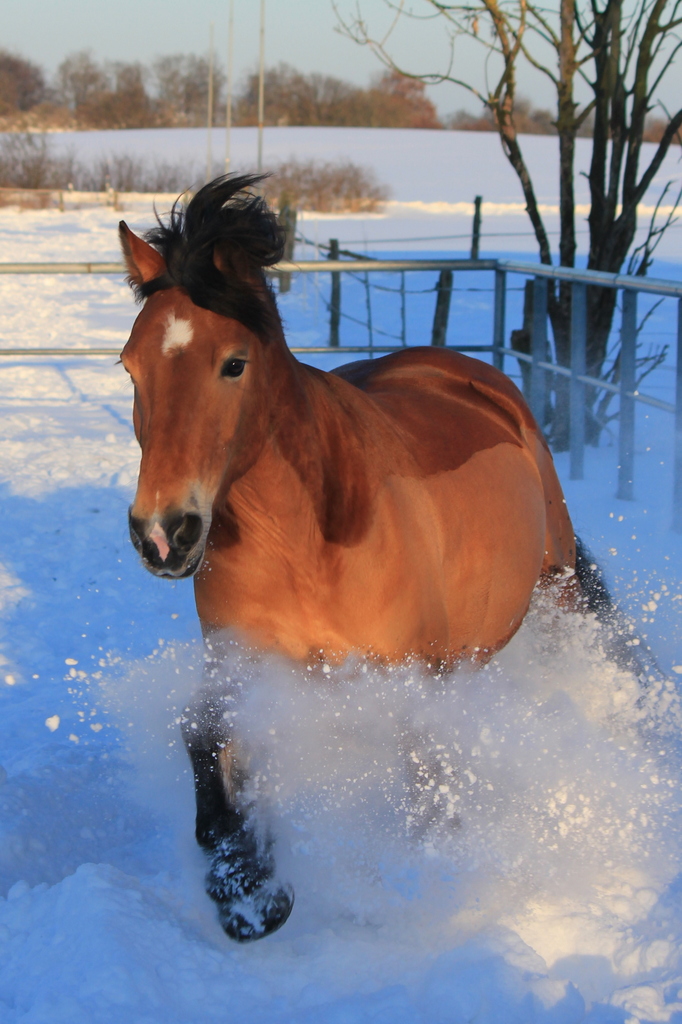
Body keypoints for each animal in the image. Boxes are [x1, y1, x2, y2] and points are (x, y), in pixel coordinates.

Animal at [119, 174, 577, 942]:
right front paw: (246, 886)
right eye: (130, 368)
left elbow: (427, 796)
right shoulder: (243, 663)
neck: (306, 549)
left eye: (234, 363)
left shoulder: (416, 684)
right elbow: (203, 732)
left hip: (559, 587)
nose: (163, 534)